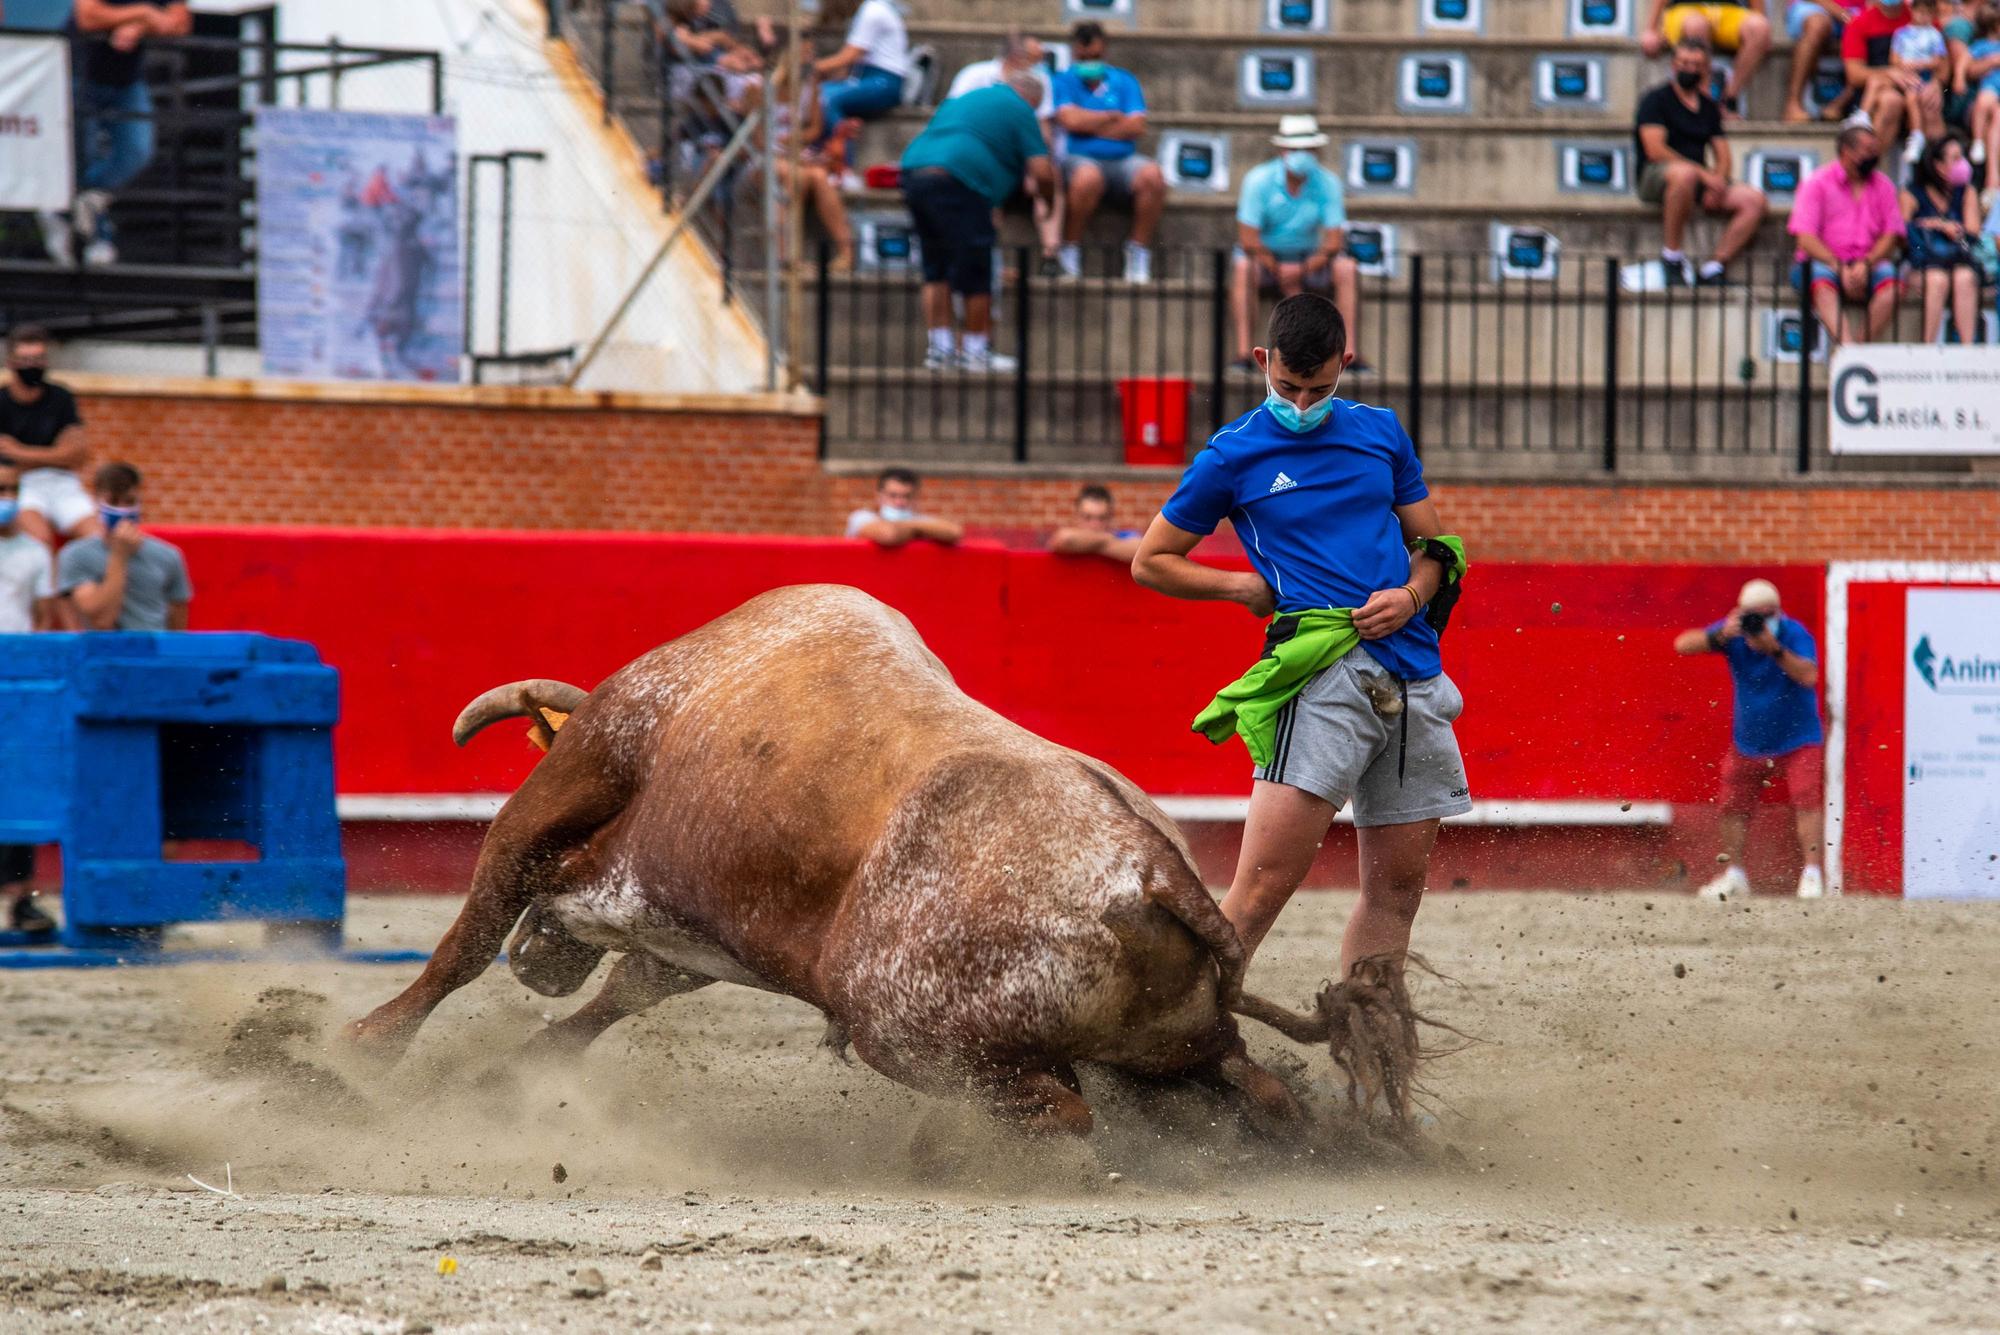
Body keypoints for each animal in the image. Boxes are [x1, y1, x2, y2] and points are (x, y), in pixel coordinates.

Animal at [348, 583, 1424, 1135]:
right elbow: (619, 994)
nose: (540, 961)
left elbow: (465, 938)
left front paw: (363, 1048)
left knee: (1064, 1110)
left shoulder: (560, 794)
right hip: (1166, 1045)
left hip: (910, 1034)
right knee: (1241, 1085)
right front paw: (499, 1080)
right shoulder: (690, 936)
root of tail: (1152, 874)